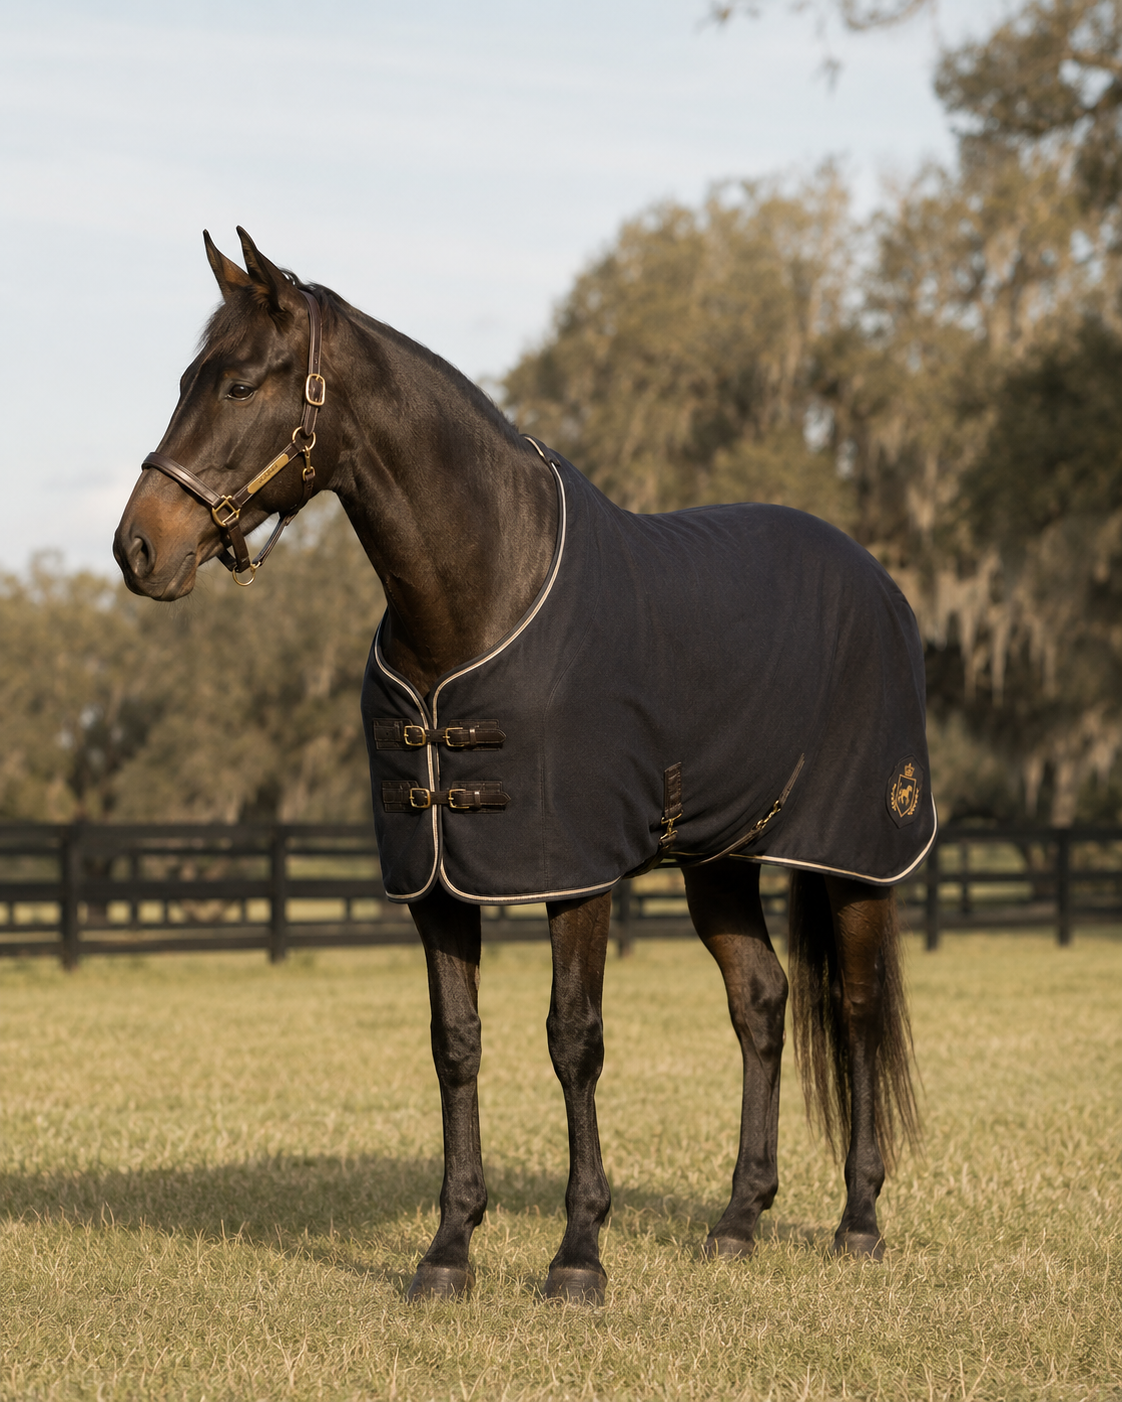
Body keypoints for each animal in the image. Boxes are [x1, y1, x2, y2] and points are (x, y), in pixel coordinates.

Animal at [114, 229, 930, 1305]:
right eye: (185, 380)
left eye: (243, 383)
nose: (138, 546)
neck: (483, 589)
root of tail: (877, 580)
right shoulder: (433, 879)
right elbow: (455, 1045)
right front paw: (448, 1248)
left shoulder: (573, 872)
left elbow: (572, 1040)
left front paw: (578, 1252)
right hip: (718, 860)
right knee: (761, 1003)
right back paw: (738, 1219)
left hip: (859, 855)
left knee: (859, 1008)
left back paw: (860, 1220)